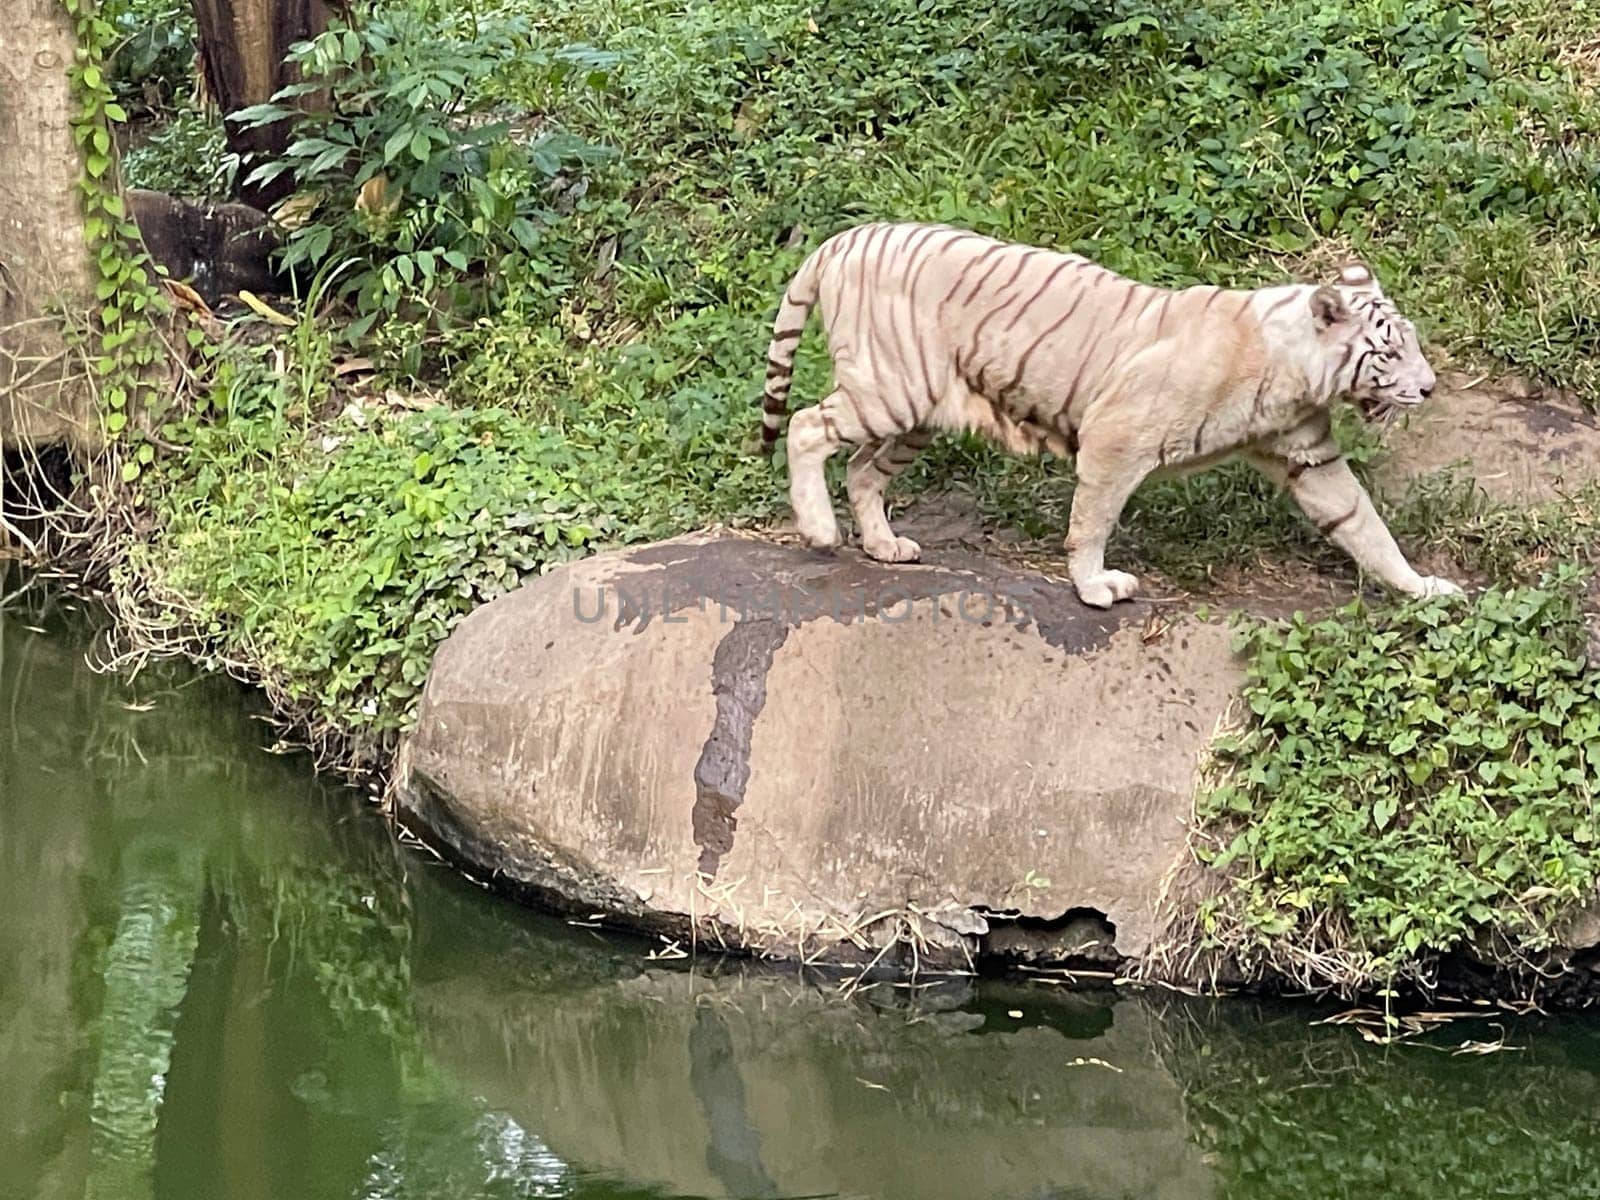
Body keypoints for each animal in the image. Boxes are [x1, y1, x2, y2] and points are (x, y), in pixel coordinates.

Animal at [758, 219, 1465, 604]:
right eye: (1389, 350)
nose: (1430, 388)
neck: (1294, 371)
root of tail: (845, 238)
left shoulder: (1309, 458)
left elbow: (1364, 525)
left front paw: (1424, 590)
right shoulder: (1116, 437)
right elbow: (1092, 521)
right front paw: (1096, 588)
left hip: (918, 416)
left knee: (862, 470)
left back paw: (884, 546)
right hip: (889, 389)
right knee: (804, 426)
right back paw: (819, 531)